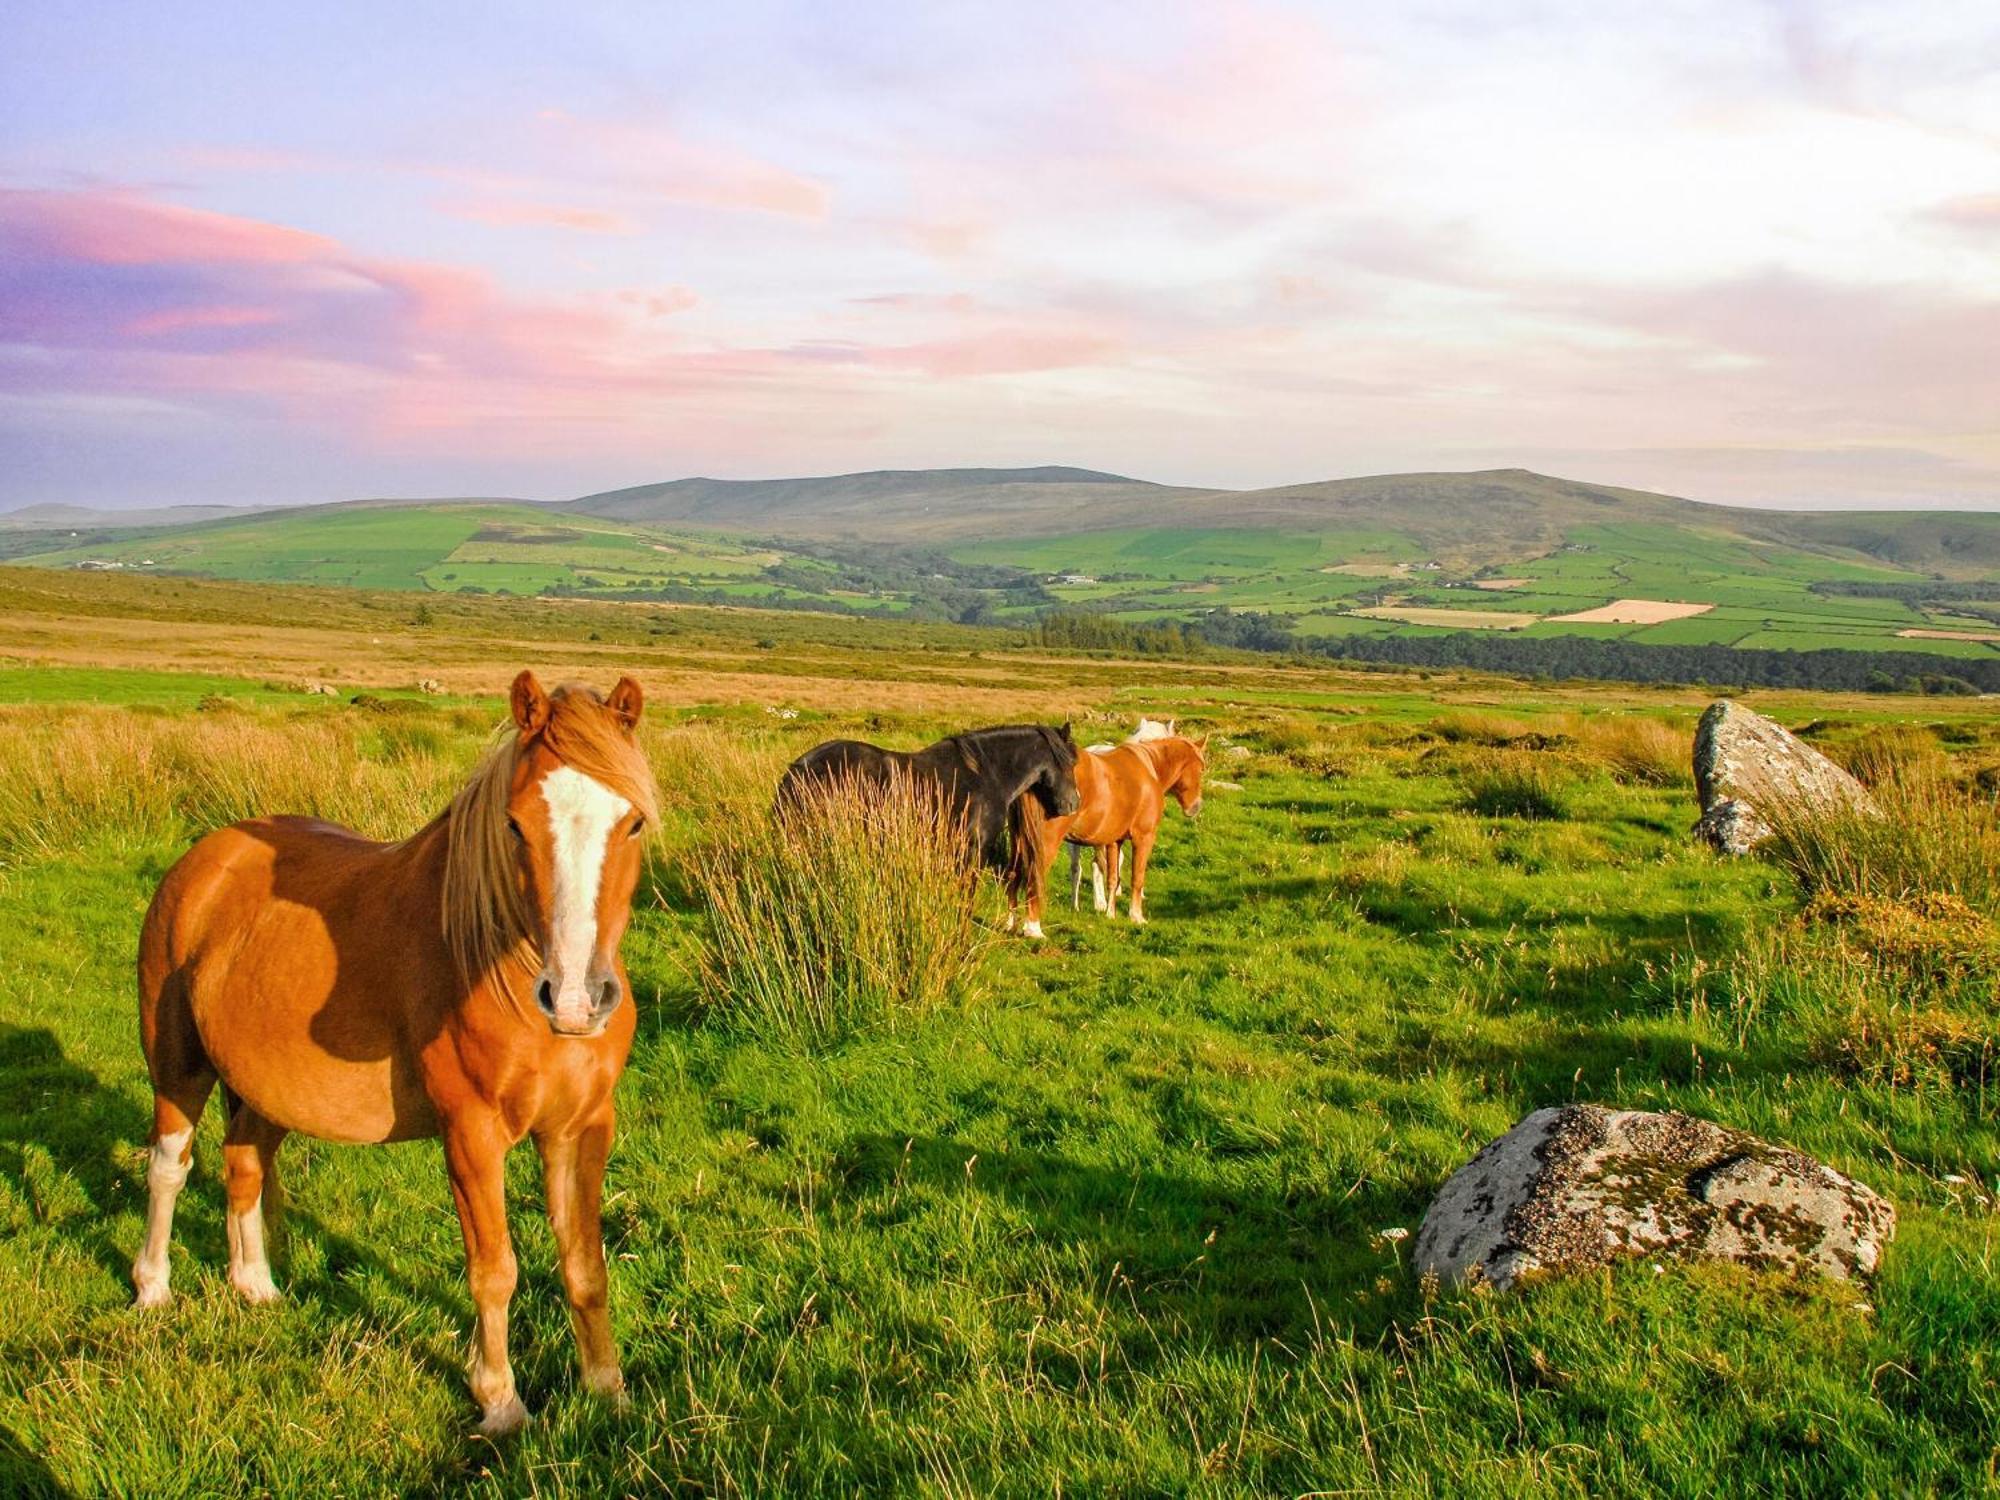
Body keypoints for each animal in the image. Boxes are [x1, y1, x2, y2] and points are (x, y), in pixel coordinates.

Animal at [135, 676, 664, 1440]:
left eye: (633, 823)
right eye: (514, 825)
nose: (574, 999)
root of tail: (207, 858)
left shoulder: (582, 1128)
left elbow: (585, 1266)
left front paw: (607, 1390)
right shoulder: (471, 1135)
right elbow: (494, 1269)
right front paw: (500, 1401)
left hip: (265, 1091)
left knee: (244, 1165)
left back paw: (256, 1286)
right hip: (177, 1065)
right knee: (169, 1167)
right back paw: (152, 1288)